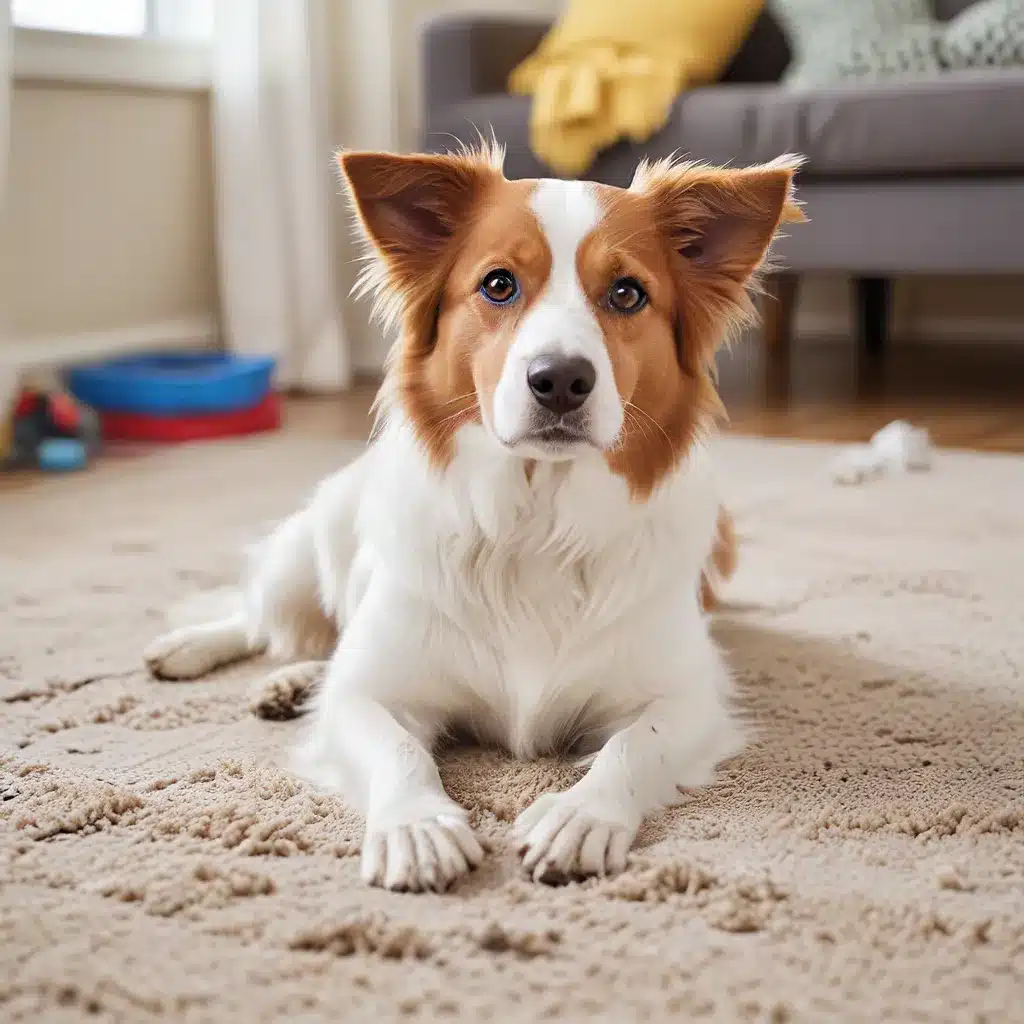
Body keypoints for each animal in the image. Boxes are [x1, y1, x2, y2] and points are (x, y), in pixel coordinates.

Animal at [144, 142, 802, 888]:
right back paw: (197, 649)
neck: (536, 519)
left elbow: (634, 747)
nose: (560, 379)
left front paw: (580, 816)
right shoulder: (367, 695)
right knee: (261, 620)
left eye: (628, 293)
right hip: (305, 554)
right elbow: (394, 743)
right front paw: (417, 825)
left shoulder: (690, 699)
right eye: (498, 285)